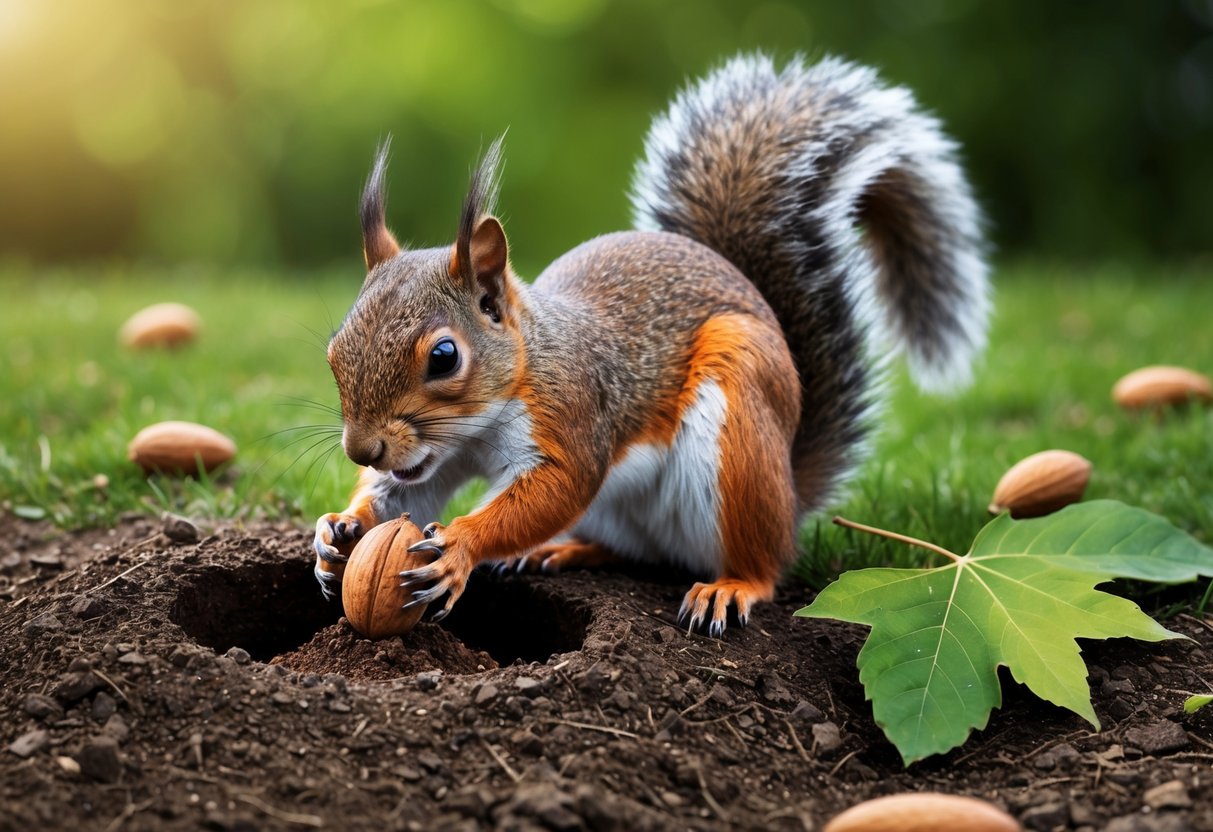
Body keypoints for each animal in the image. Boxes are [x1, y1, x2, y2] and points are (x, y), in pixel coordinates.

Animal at [310, 53, 984, 640]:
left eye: (444, 357)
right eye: (334, 351)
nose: (362, 450)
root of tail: (792, 493)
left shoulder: (573, 412)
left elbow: (559, 487)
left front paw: (459, 546)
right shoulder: (437, 457)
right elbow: (409, 491)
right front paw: (338, 528)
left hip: (741, 430)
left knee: (761, 561)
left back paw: (731, 585)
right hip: (623, 512)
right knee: (629, 549)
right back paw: (563, 550)